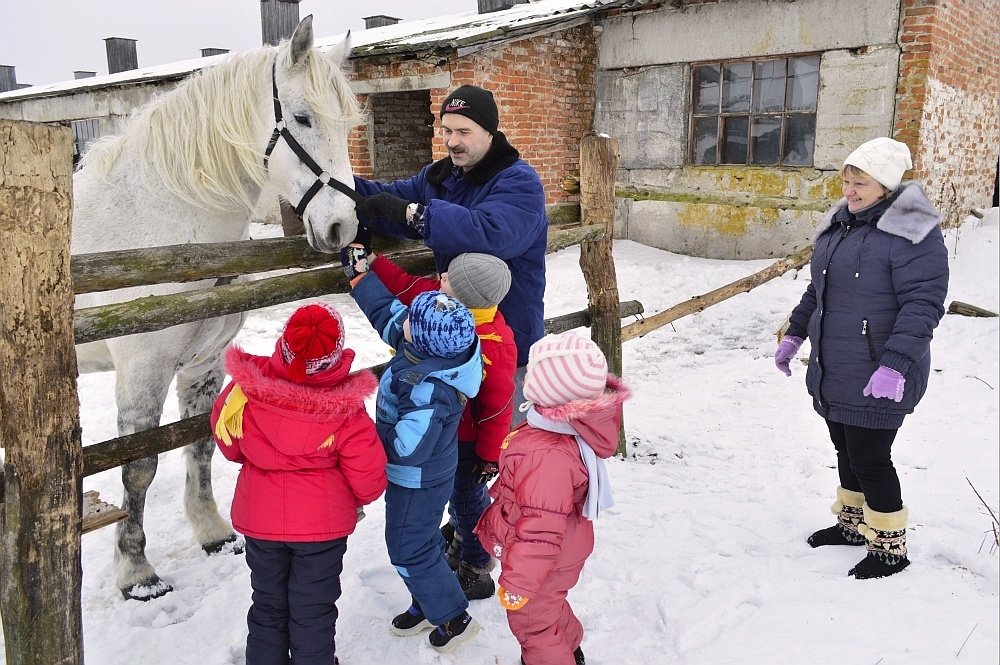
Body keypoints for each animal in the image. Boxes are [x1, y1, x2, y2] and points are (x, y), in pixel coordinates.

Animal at [73, 15, 364, 600]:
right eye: (303, 117)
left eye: (348, 124)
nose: (343, 227)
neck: (160, 225)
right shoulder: (142, 371)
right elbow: (138, 465)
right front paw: (136, 571)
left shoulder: (204, 363)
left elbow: (201, 444)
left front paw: (211, 532)